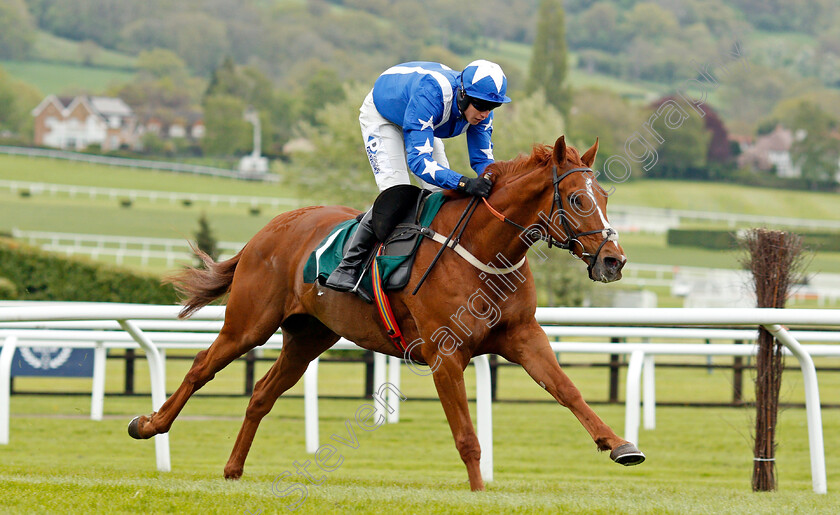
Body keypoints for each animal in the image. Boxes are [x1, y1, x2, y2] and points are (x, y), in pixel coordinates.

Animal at [128, 135, 648, 490]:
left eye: (605, 198)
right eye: (577, 199)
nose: (613, 260)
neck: (485, 250)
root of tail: (270, 229)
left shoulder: (523, 337)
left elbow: (569, 391)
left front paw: (621, 445)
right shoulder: (445, 354)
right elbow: (467, 435)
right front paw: (479, 492)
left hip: (308, 337)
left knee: (261, 394)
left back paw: (233, 469)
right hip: (250, 324)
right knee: (201, 367)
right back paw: (149, 424)